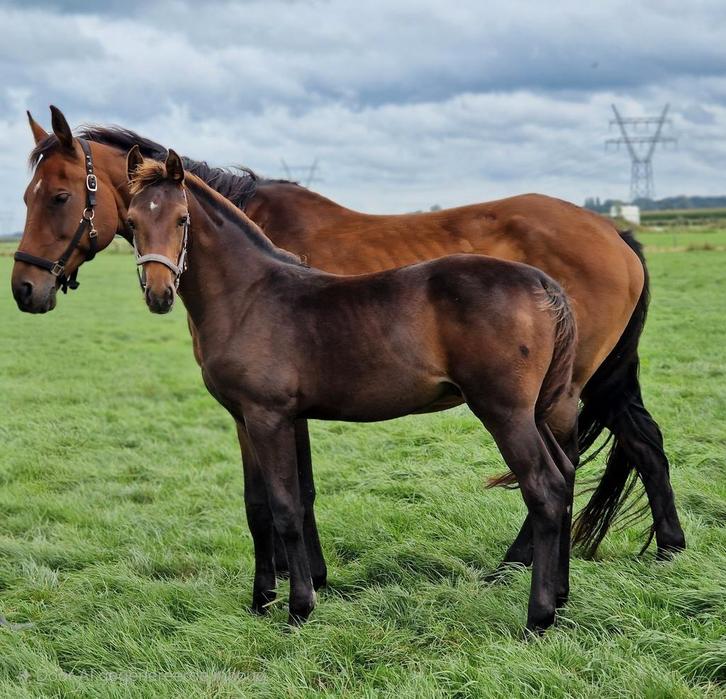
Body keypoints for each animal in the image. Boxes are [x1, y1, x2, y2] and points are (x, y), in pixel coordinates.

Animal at [11, 107, 685, 571]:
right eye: (25, 196)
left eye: (60, 196)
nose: (24, 288)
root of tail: (614, 232)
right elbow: (293, 493)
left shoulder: (278, 407)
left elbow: (293, 494)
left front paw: (304, 581)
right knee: (637, 446)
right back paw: (666, 548)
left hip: (560, 390)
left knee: (569, 467)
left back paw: (527, 564)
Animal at [125, 146, 579, 631]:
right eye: (132, 222)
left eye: (181, 219)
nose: (159, 294)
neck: (248, 297)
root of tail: (541, 282)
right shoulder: (245, 419)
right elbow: (258, 507)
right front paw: (260, 600)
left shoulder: (269, 417)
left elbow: (286, 506)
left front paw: (299, 608)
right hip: (534, 412)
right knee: (567, 475)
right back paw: (561, 596)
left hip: (504, 412)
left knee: (545, 488)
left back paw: (538, 617)